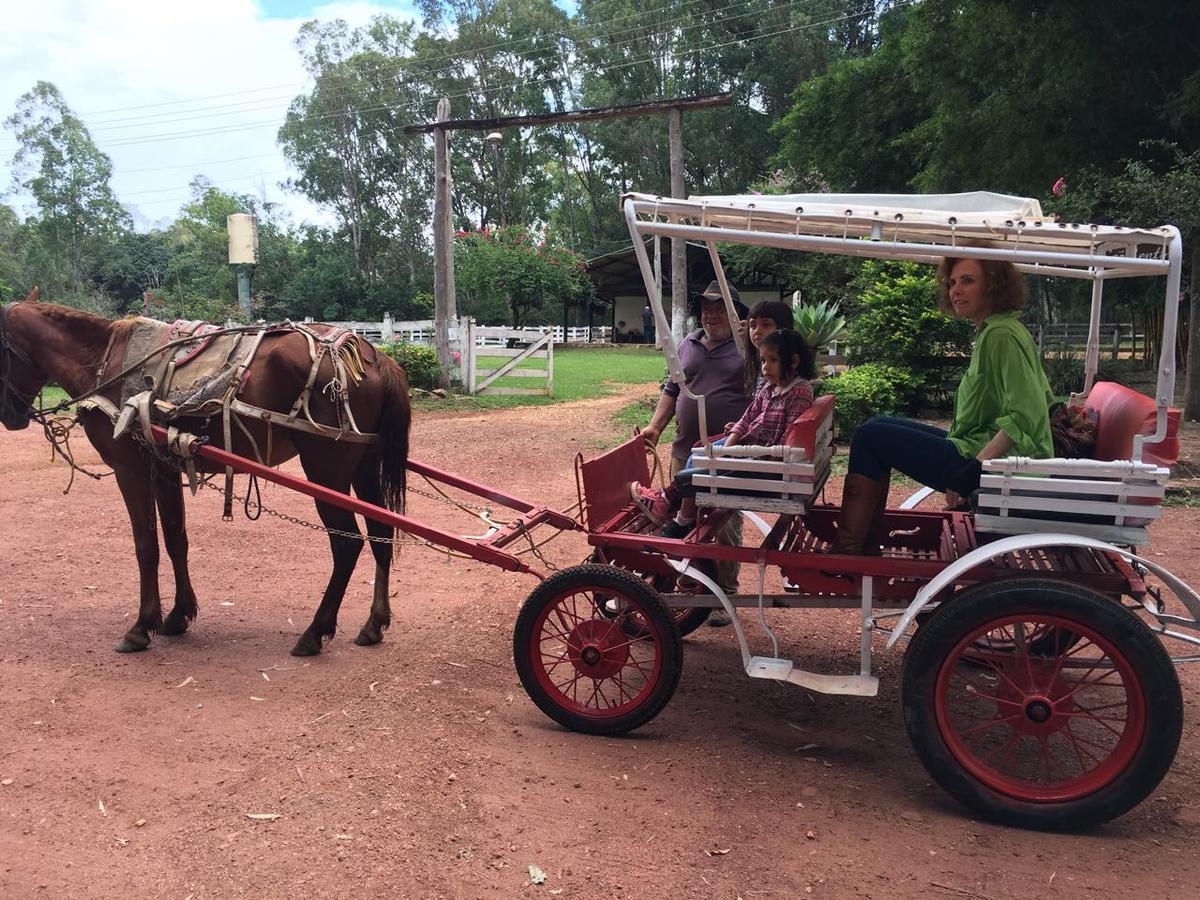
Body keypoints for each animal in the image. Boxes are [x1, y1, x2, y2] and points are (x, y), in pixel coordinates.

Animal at [1, 296, 412, 657]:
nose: (9, 415)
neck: (105, 361)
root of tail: (373, 357)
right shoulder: (164, 469)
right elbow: (175, 540)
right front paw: (177, 615)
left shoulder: (131, 470)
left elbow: (146, 547)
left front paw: (141, 627)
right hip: (363, 466)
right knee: (380, 534)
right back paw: (374, 624)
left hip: (326, 471)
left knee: (346, 544)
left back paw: (314, 632)